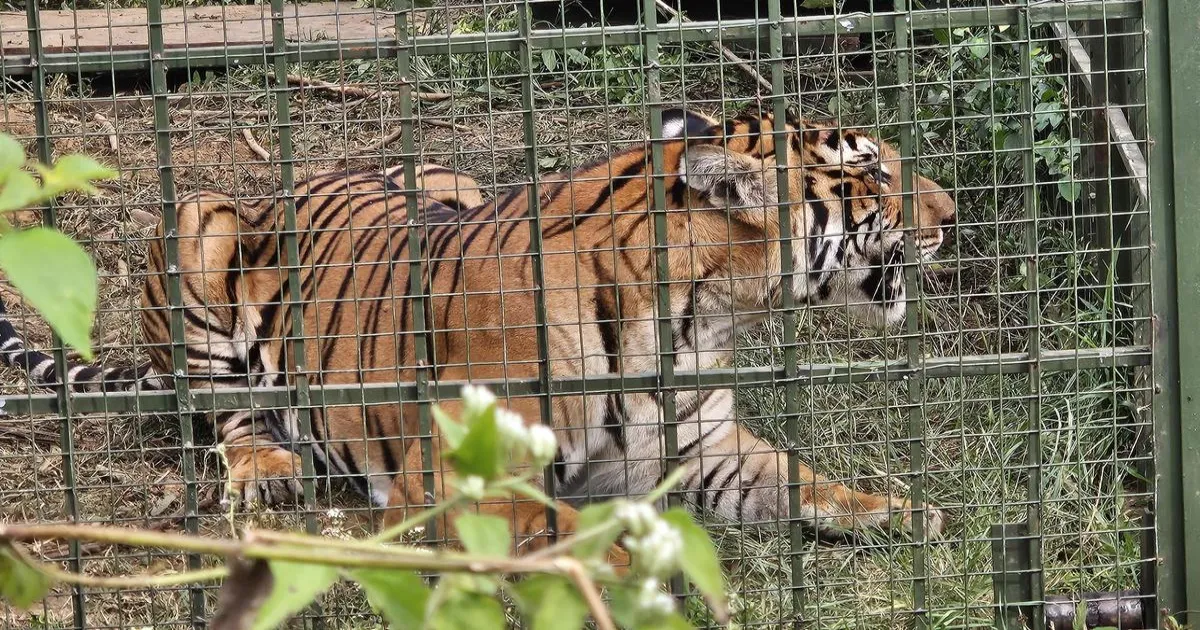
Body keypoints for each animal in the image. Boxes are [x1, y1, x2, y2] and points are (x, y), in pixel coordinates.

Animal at [0, 106, 956, 561]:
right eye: (872, 172)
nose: (952, 215)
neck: (698, 316)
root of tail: (299, 178)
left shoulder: (705, 448)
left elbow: (804, 480)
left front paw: (904, 511)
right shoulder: (464, 483)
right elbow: (563, 534)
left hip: (445, 177)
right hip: (197, 221)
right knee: (221, 408)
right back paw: (269, 468)